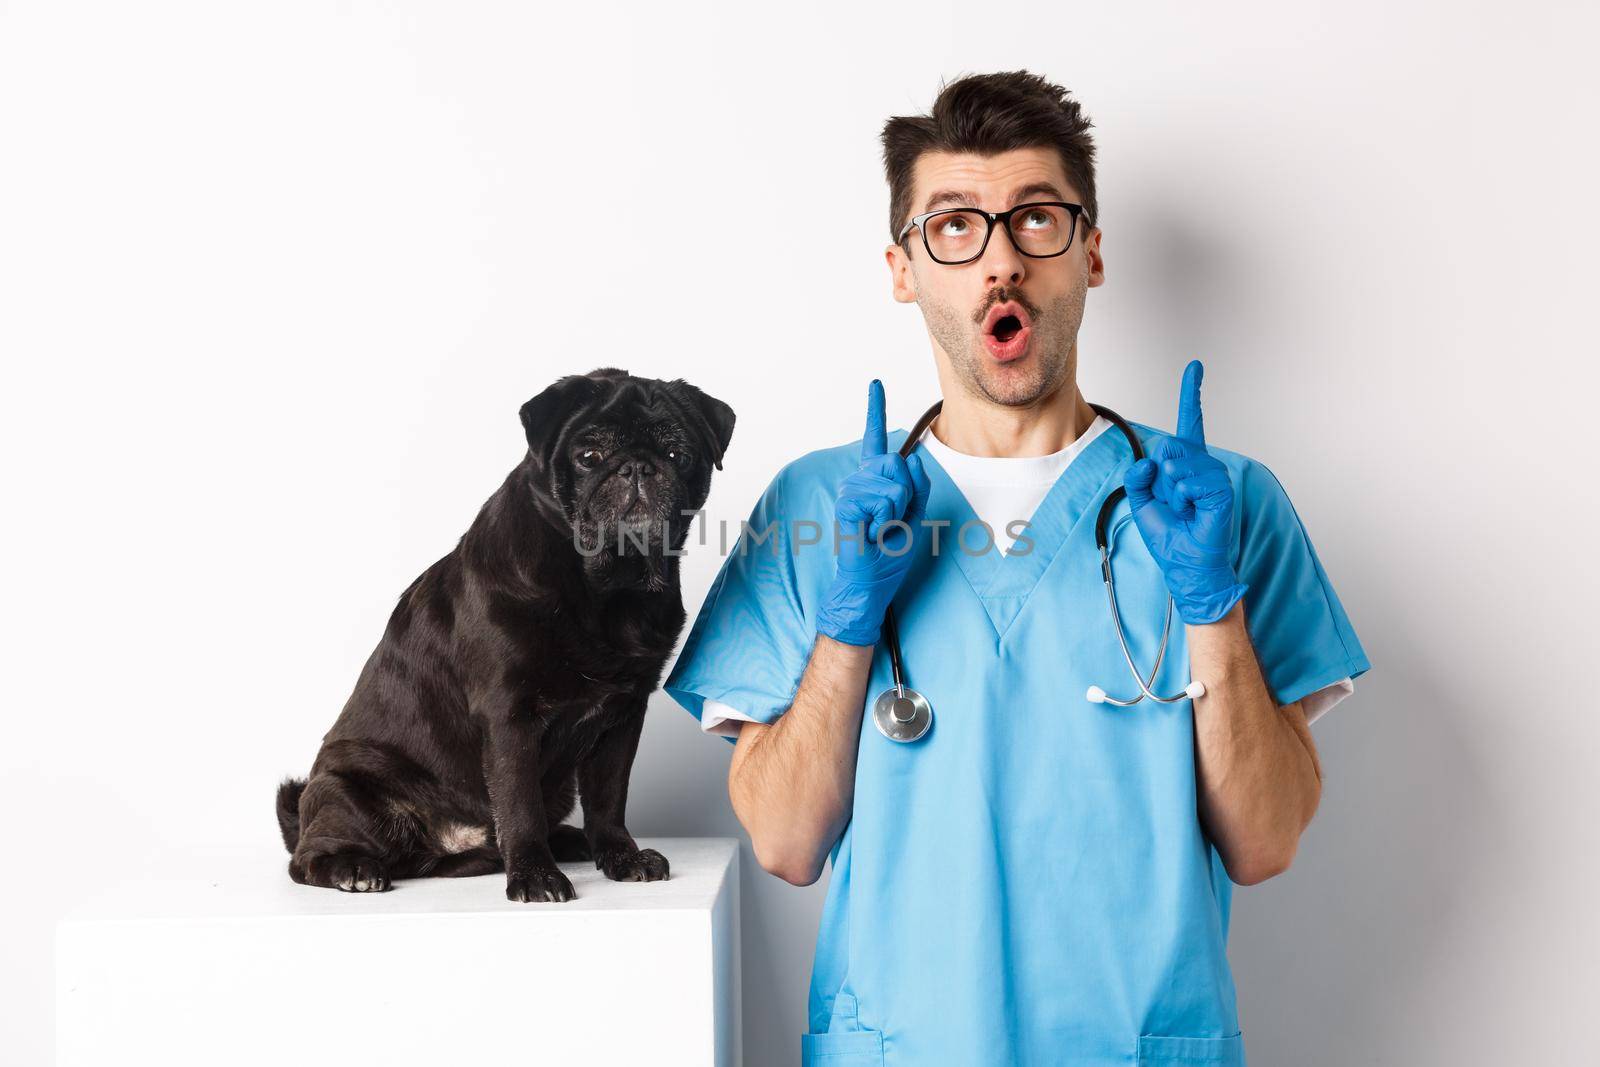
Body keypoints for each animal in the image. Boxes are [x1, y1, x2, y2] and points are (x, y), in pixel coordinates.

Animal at [276, 367, 736, 902]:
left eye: (678, 456)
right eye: (589, 457)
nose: (637, 467)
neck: (605, 587)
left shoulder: (622, 719)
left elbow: (608, 799)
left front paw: (620, 856)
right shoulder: (509, 716)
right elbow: (519, 804)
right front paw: (535, 875)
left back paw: (566, 841)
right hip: (346, 791)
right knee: (306, 858)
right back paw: (352, 868)